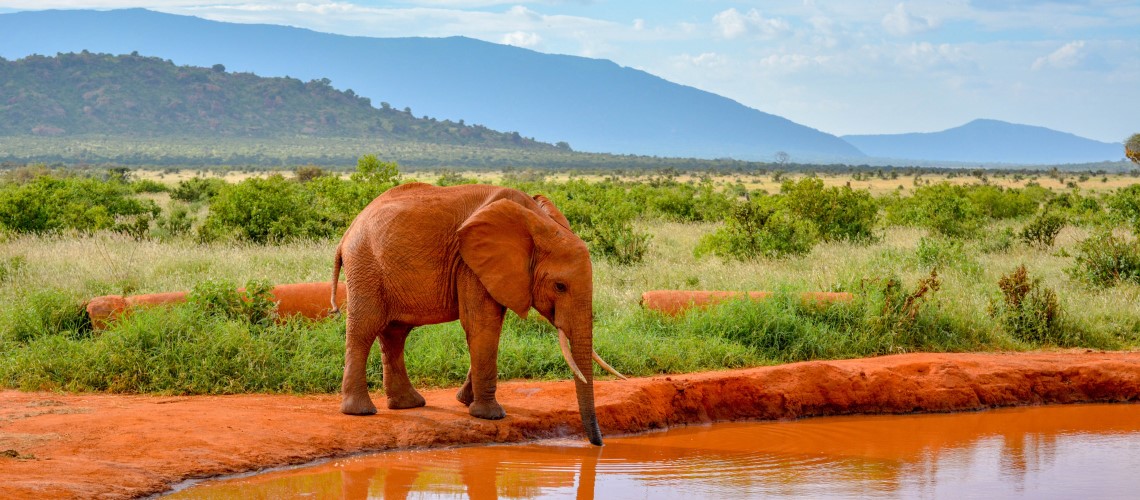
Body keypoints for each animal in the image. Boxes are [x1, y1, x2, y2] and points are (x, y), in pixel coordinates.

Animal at [330, 182, 625, 446]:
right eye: (560, 286)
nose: (597, 444)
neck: (538, 223)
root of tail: (347, 232)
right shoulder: (469, 264)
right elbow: (482, 324)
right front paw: (491, 416)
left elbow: (487, 327)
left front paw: (465, 402)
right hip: (366, 265)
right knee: (365, 328)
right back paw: (361, 411)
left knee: (395, 333)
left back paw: (408, 404)